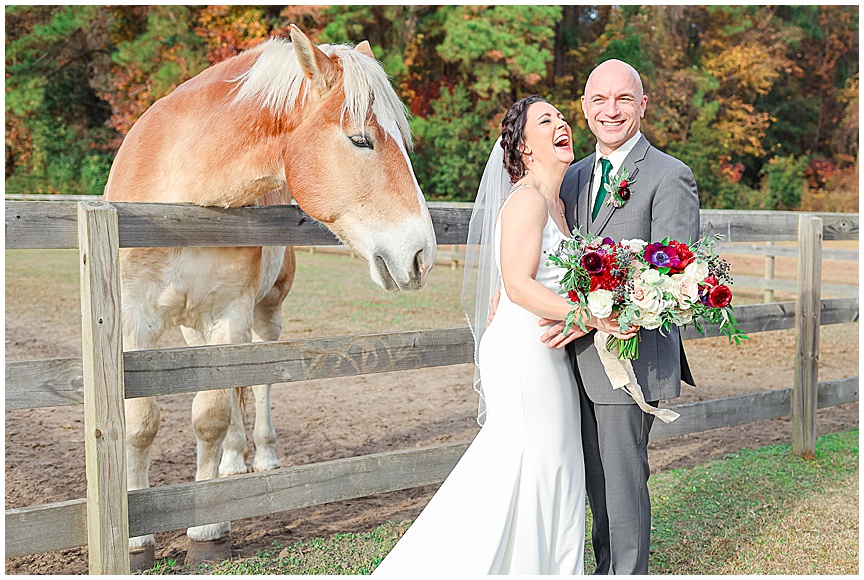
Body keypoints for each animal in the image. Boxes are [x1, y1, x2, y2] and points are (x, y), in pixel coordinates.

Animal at [103, 24, 438, 568]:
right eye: (360, 139)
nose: (422, 255)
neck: (178, 199)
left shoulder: (230, 315)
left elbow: (212, 416)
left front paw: (208, 529)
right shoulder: (135, 321)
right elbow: (141, 422)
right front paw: (136, 542)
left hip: (262, 318)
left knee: (256, 383)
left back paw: (259, 456)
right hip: (195, 329)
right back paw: (234, 464)